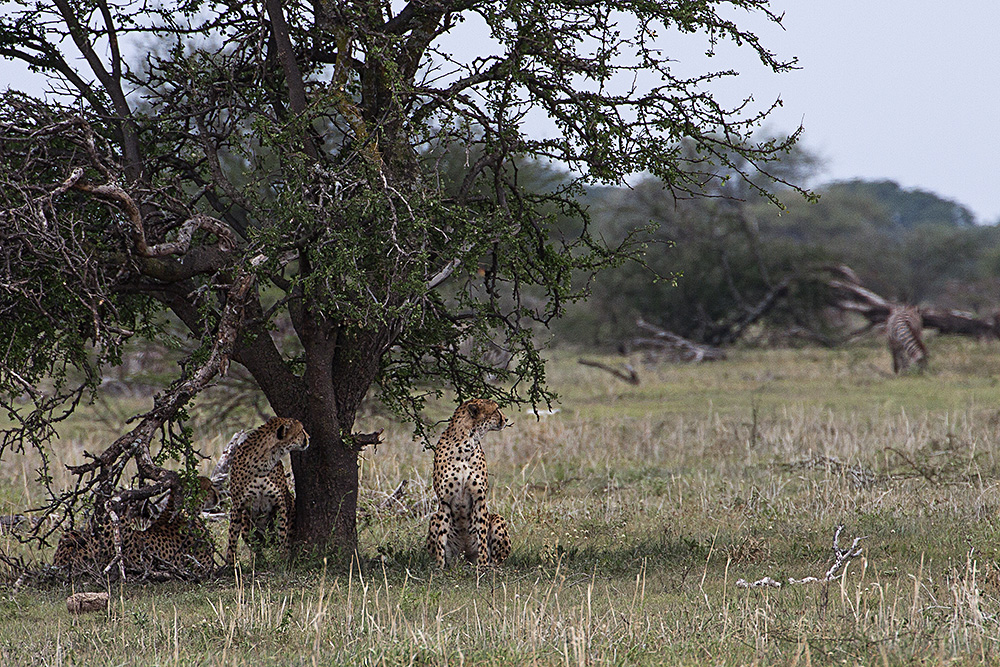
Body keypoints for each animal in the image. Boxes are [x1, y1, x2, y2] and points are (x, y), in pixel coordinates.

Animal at [224, 420, 308, 568]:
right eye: (301, 431)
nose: (309, 438)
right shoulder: (237, 506)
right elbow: (232, 535)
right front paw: (230, 563)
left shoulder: (280, 503)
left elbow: (283, 533)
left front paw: (284, 559)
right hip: (246, 522)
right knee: (255, 546)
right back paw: (259, 562)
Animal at [426, 396, 512, 568]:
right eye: (496, 409)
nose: (506, 419)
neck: (465, 444)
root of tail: (465, 557)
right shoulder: (444, 501)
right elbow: (441, 539)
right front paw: (439, 566)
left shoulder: (479, 499)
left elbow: (482, 538)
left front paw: (483, 566)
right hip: (434, 519)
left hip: (498, 518)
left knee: (497, 559)